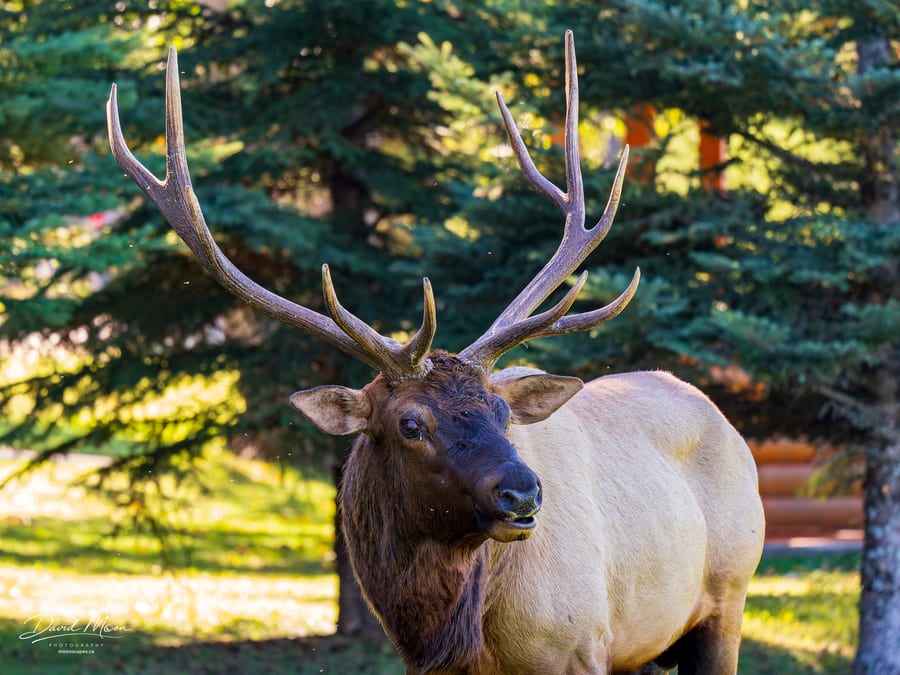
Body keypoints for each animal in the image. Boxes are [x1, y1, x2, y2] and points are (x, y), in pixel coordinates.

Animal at [107, 31, 765, 675]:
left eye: (503, 413)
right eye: (410, 423)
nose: (523, 494)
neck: (454, 633)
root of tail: (725, 422)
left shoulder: (579, 647)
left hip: (727, 597)